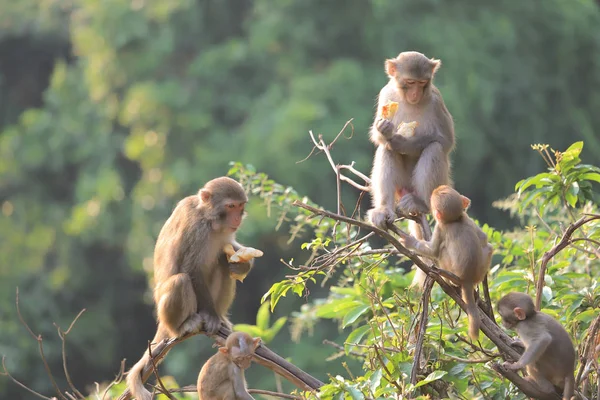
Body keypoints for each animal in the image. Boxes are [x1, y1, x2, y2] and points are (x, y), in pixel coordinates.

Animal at [127, 177, 262, 400]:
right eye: (230, 206)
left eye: (240, 206)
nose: (237, 218)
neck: (210, 220)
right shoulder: (196, 229)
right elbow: (191, 269)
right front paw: (212, 318)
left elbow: (230, 250)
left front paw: (242, 265)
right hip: (174, 312)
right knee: (181, 280)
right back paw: (185, 325)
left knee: (220, 261)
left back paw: (222, 317)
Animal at [366, 50, 454, 288]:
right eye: (410, 82)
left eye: (423, 83)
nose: (415, 93)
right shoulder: (386, 94)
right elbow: (379, 138)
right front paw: (384, 130)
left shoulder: (436, 100)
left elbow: (445, 141)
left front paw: (401, 141)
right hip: (401, 185)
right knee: (385, 150)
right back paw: (384, 209)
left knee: (433, 148)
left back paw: (421, 202)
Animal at [398, 185, 492, 340]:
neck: (456, 219)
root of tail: (467, 279)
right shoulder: (468, 219)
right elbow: (484, 238)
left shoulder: (440, 227)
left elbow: (433, 251)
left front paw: (410, 242)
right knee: (489, 247)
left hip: (451, 270)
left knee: (441, 252)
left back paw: (446, 279)